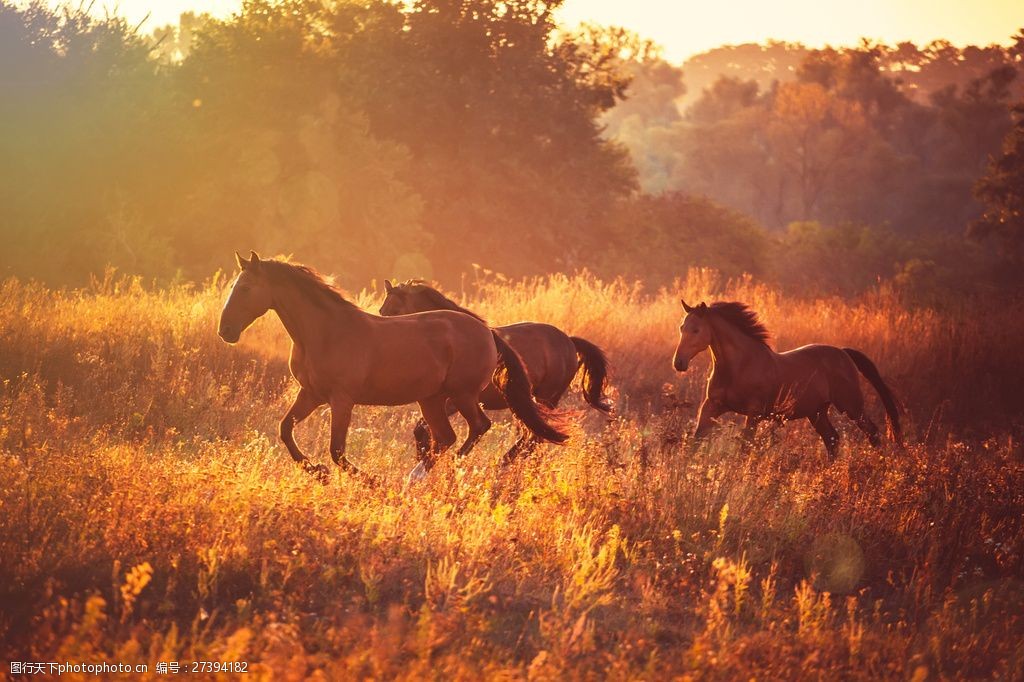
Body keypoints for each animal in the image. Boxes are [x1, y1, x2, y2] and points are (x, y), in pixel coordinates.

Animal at [218, 249, 569, 477]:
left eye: (245, 287)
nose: (226, 331)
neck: (325, 332)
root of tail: (488, 332)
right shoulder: (311, 395)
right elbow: (285, 430)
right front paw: (316, 471)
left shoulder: (341, 400)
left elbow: (337, 451)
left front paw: (370, 482)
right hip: (432, 399)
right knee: (446, 438)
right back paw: (418, 479)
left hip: (462, 395)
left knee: (479, 428)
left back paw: (446, 470)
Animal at [380, 276, 610, 462]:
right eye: (382, 311)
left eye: (395, 311)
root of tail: (569, 341)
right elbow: (421, 428)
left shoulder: (458, 398)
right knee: (532, 437)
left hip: (546, 399)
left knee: (534, 437)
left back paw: (505, 463)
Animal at [671, 299, 905, 454]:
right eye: (681, 327)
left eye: (696, 330)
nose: (678, 363)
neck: (738, 367)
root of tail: (843, 352)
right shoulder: (711, 407)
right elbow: (696, 440)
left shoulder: (753, 414)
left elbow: (745, 448)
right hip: (817, 412)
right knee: (832, 439)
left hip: (851, 406)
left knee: (872, 432)